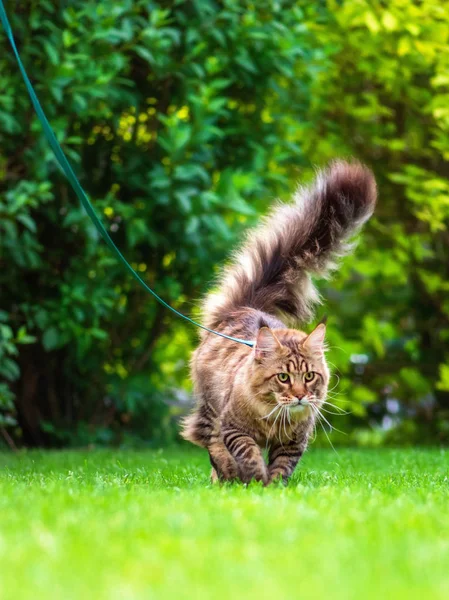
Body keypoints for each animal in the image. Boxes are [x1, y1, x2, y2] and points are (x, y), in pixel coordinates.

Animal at [181, 162, 374, 486]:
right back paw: (226, 475)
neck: (275, 419)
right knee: (211, 442)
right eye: (283, 377)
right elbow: (247, 452)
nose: (299, 395)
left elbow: (282, 467)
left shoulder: (293, 442)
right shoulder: (234, 428)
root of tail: (245, 307)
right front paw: (254, 479)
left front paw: (273, 487)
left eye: (308, 376)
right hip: (210, 408)